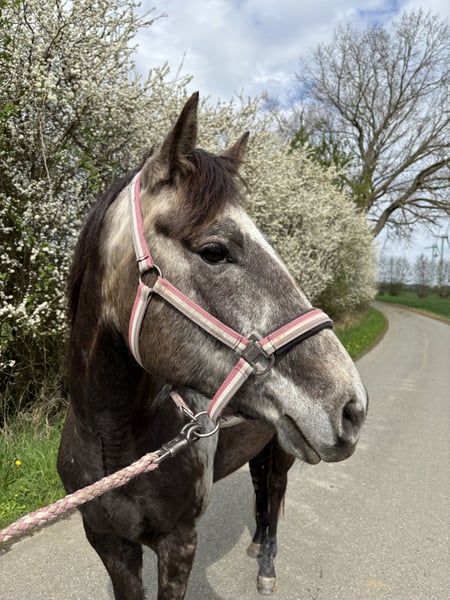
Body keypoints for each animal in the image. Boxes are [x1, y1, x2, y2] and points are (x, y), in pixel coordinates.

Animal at [57, 92, 367, 600]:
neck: (112, 440)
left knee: (272, 495)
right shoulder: (110, 545)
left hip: (282, 453)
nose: (351, 407)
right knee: (259, 490)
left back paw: (266, 565)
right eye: (215, 251)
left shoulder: (179, 545)